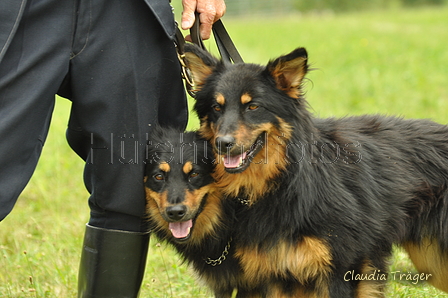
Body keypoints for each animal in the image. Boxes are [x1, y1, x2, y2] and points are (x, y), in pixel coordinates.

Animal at [148, 43, 448, 296]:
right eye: (216, 107)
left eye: (253, 106)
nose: (223, 144)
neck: (282, 181)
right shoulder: (273, 276)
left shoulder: (342, 270)